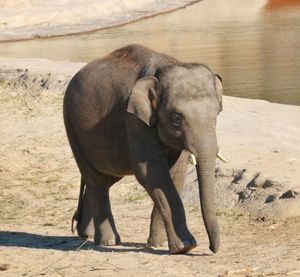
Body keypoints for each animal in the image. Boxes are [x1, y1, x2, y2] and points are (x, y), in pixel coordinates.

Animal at [63, 43, 223, 252]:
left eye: (217, 114)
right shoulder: (134, 118)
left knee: (106, 178)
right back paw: (109, 241)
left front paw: (161, 244)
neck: (165, 66)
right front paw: (185, 246)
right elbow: (151, 172)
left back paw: (86, 234)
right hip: (73, 128)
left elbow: (176, 173)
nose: (212, 248)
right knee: (96, 180)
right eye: (177, 119)